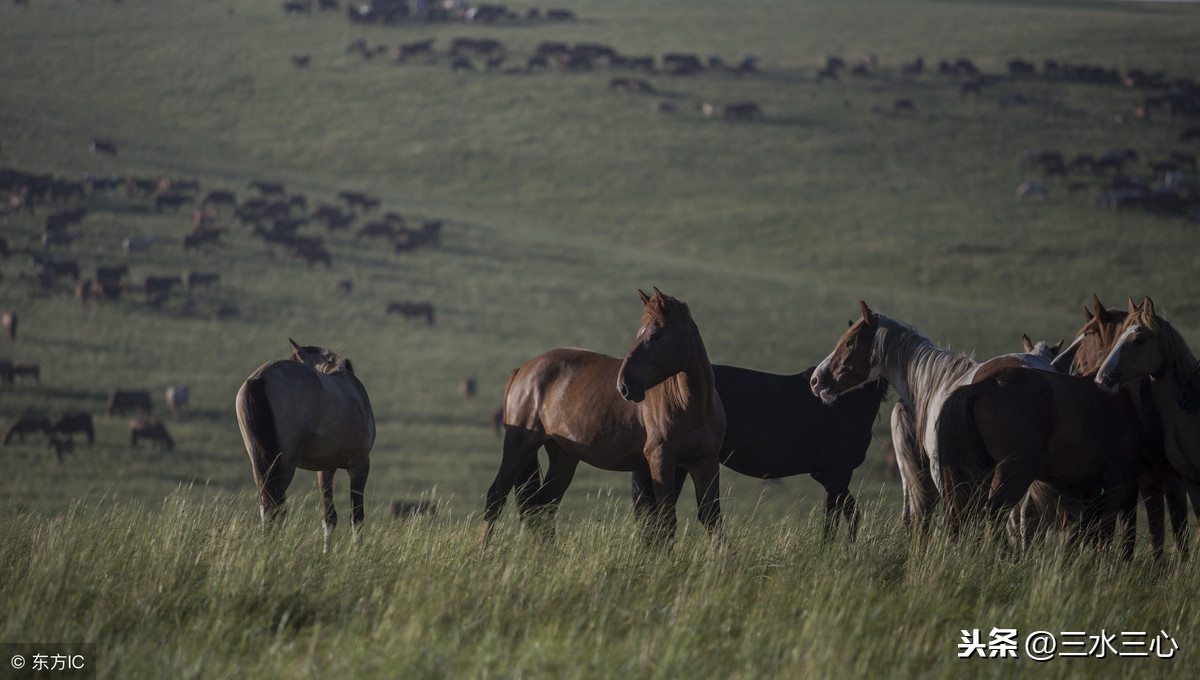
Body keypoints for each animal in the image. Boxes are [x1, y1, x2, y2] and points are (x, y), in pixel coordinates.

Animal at [235, 338, 374, 551]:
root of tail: (259, 378)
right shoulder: (360, 465)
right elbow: (356, 517)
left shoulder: (325, 470)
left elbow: (329, 517)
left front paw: (326, 553)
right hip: (285, 464)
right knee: (275, 506)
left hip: (260, 463)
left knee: (267, 507)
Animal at [477, 287, 720, 549]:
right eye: (639, 334)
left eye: (656, 335)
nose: (624, 385)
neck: (691, 405)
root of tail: (522, 370)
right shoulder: (661, 460)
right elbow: (666, 522)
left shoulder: (706, 462)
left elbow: (712, 518)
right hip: (519, 446)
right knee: (497, 497)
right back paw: (483, 552)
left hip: (563, 456)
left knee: (541, 508)